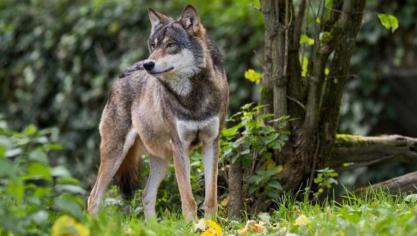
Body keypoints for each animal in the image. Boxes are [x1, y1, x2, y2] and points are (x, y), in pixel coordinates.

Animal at [87, 4, 228, 220]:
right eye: (153, 45)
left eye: (170, 45)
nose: (148, 64)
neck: (193, 97)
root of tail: (120, 77)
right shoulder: (180, 147)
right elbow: (188, 200)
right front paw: (192, 225)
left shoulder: (211, 142)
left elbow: (210, 198)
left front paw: (211, 224)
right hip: (115, 154)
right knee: (93, 197)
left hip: (161, 160)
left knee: (146, 195)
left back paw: (152, 225)